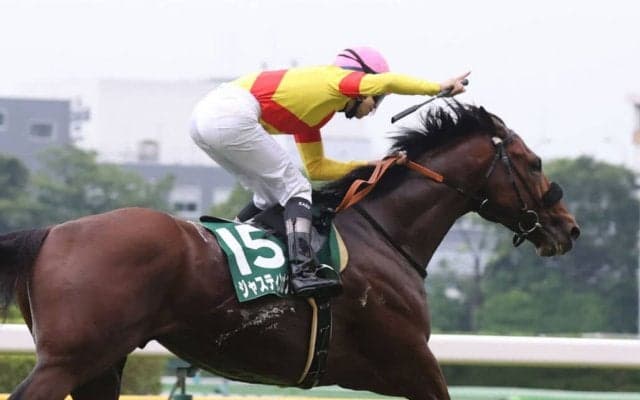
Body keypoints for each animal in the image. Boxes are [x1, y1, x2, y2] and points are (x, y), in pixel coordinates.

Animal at [0, 103, 580, 400]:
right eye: (533, 163)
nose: (568, 228)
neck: (382, 234)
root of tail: (50, 232)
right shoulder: (413, 362)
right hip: (72, 359)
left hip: (102, 363)